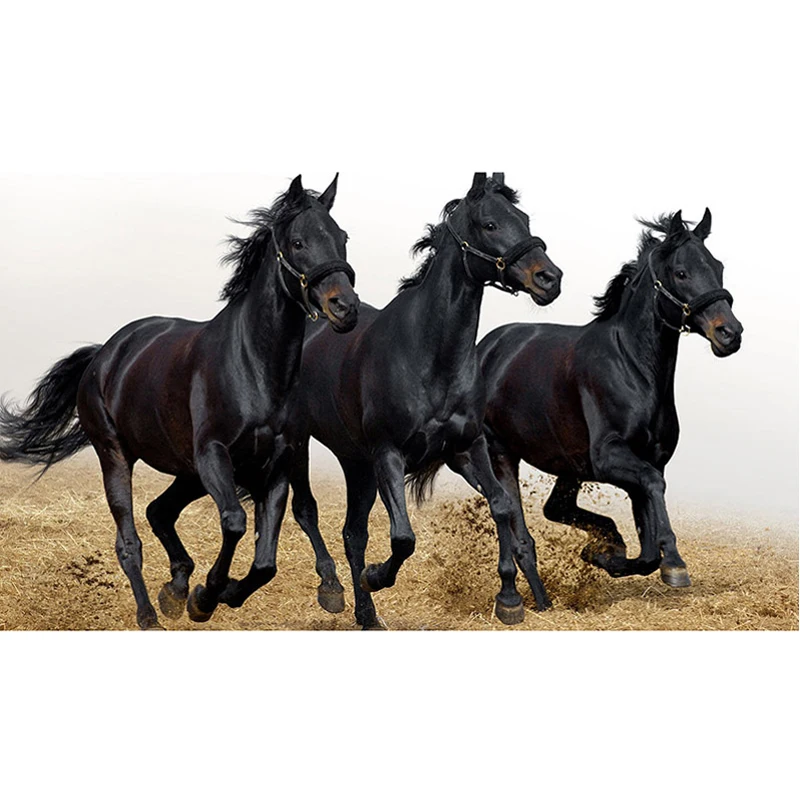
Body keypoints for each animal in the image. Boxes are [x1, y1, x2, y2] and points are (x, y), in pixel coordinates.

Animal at [0, 174, 360, 629]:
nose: (345, 307)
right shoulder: (213, 455)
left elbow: (266, 561)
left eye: (342, 237)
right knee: (130, 541)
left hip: (187, 472)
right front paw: (206, 596)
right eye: (297, 242)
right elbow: (236, 522)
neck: (255, 367)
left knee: (159, 511)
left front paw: (219, 592)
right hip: (117, 455)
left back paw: (175, 589)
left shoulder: (276, 464)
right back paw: (150, 614)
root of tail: (105, 354)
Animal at [288, 173, 563, 629]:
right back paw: (334, 590)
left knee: (353, 533)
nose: (549, 278)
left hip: (355, 460)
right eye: (489, 224)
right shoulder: (388, 455)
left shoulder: (467, 447)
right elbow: (403, 537)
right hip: (298, 444)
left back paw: (367, 615)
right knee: (306, 511)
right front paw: (375, 576)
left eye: (523, 218)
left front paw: (509, 598)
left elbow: (502, 506)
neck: (430, 356)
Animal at [466, 209, 742, 592]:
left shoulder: (646, 461)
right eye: (681, 272)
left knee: (555, 508)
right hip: (502, 453)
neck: (632, 367)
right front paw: (674, 563)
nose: (730, 333)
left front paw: (604, 555)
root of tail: (484, 349)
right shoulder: (610, 457)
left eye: (718, 267)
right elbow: (654, 494)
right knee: (519, 528)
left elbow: (647, 548)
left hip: (567, 465)